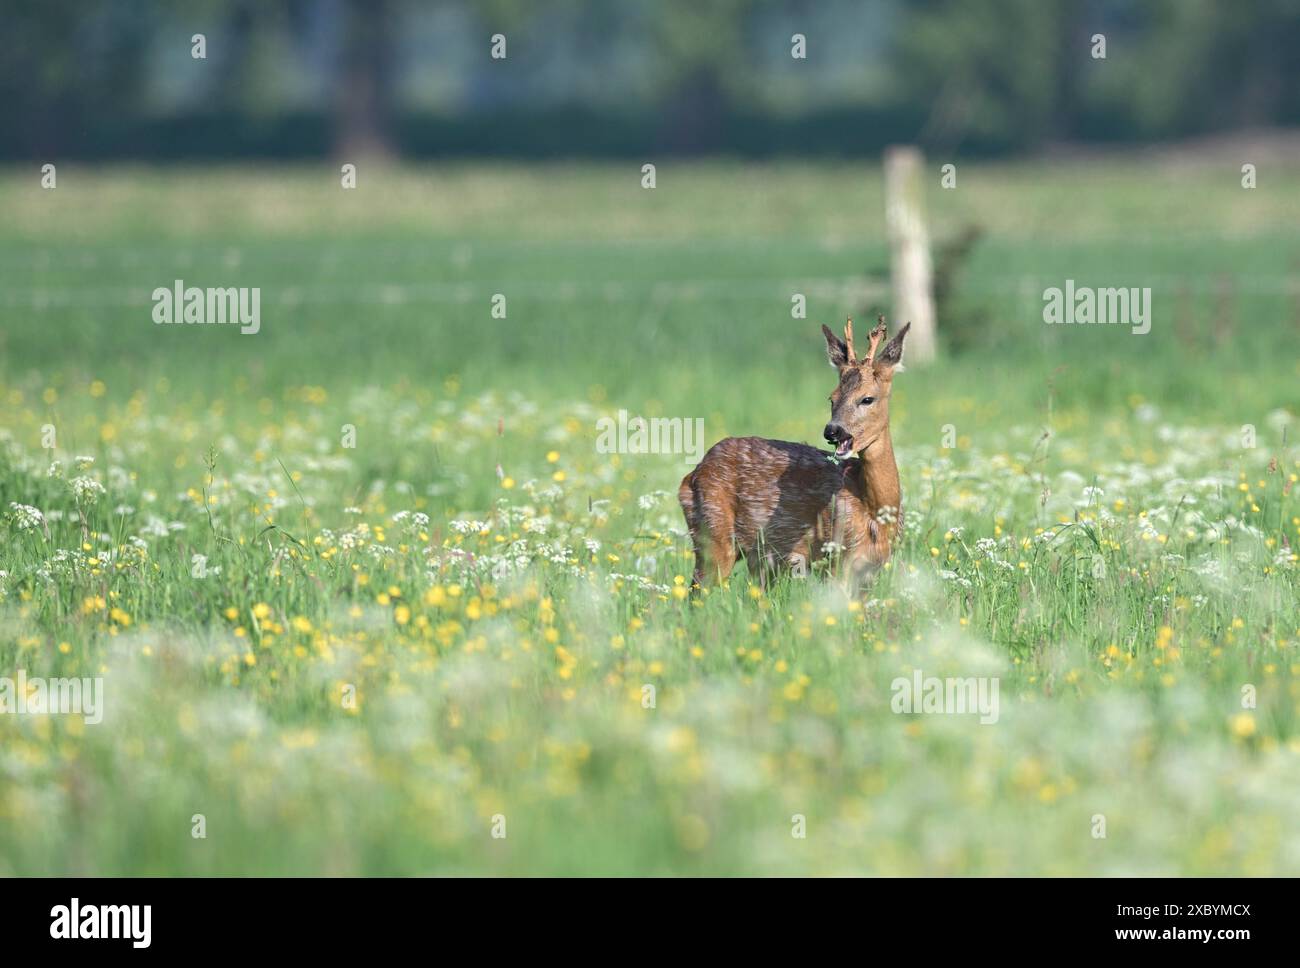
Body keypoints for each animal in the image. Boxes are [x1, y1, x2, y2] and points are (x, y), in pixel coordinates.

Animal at [686, 317, 909, 589]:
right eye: (832, 398)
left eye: (867, 398)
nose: (833, 430)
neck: (875, 510)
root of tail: (693, 474)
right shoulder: (837, 556)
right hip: (713, 534)